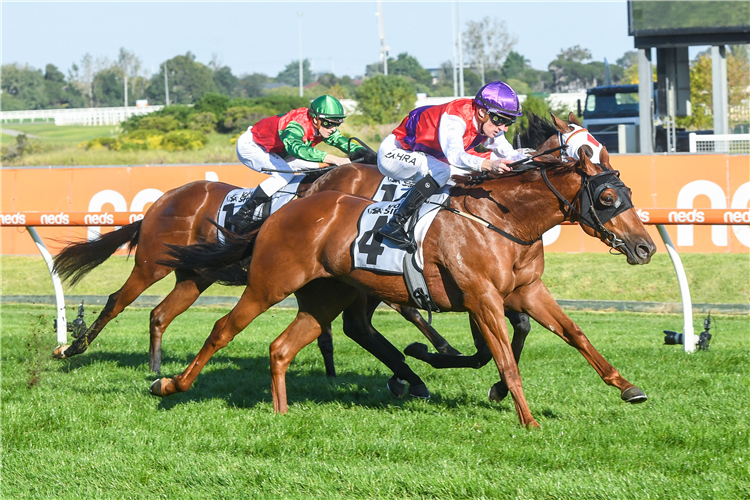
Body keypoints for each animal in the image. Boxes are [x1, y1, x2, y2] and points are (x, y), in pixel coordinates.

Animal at [153, 119, 656, 428]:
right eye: (607, 197)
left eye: (627, 190)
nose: (646, 246)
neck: (503, 220)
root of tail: (289, 207)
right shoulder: (483, 298)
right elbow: (503, 359)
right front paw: (525, 417)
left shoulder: (527, 290)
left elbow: (574, 334)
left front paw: (627, 387)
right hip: (269, 284)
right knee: (223, 329)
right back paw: (169, 383)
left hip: (326, 295)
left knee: (286, 346)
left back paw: (286, 411)